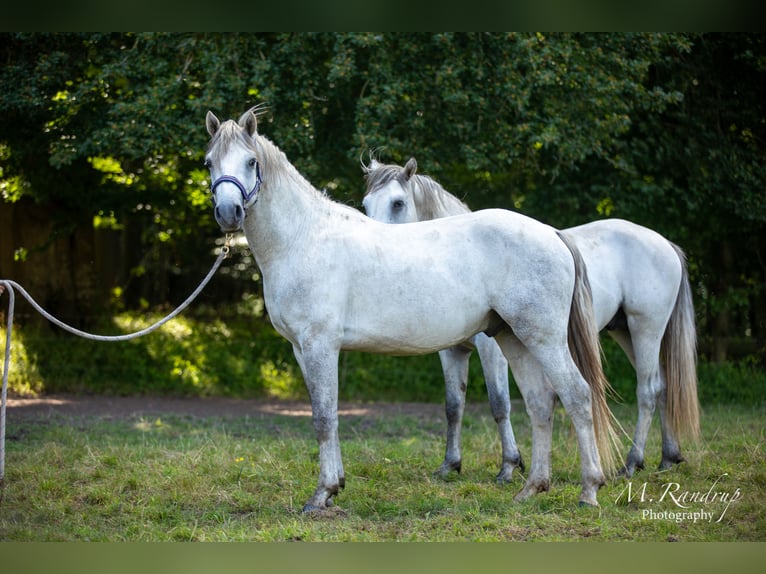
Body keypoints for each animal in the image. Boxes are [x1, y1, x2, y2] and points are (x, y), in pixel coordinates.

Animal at [206, 109, 624, 512]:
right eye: (209, 162)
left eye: (251, 161)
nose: (229, 212)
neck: (304, 238)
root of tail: (552, 233)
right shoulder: (301, 349)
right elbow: (330, 416)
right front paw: (337, 485)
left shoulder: (319, 345)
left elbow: (324, 418)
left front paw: (321, 495)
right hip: (513, 338)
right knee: (540, 403)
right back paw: (531, 489)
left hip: (543, 339)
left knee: (576, 395)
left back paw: (589, 490)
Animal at [364, 156, 704, 482]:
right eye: (366, 204)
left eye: (398, 203)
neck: (465, 260)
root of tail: (664, 243)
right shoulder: (452, 352)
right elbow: (453, 407)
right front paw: (450, 465)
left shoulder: (492, 351)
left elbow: (499, 404)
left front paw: (509, 466)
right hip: (625, 333)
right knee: (663, 387)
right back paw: (667, 458)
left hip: (645, 330)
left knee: (647, 391)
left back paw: (632, 463)